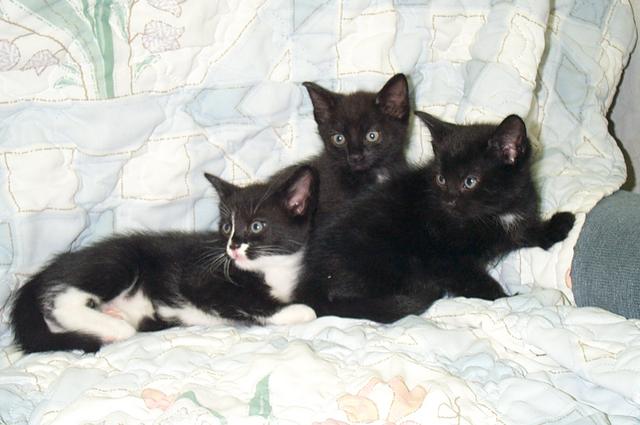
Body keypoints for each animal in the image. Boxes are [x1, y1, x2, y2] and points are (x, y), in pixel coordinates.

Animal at [10, 166, 319, 353]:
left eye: (256, 226)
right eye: (226, 227)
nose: (232, 247)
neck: (269, 269)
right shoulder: (199, 277)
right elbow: (242, 298)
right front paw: (297, 311)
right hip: (116, 260)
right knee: (60, 299)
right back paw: (115, 328)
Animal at [292, 113, 576, 323]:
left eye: (469, 181)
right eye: (440, 179)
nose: (448, 200)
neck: (495, 213)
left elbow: (526, 231)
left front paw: (559, 224)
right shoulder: (444, 258)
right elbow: (471, 277)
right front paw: (507, 298)